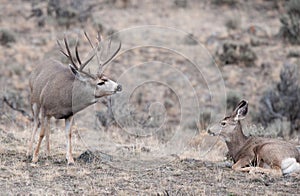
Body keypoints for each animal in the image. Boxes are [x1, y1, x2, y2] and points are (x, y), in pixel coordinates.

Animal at [27, 33, 122, 165]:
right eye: (101, 82)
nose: (119, 86)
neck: (65, 97)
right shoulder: (45, 108)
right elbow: (41, 133)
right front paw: (35, 158)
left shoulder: (69, 114)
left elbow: (69, 134)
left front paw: (70, 159)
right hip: (34, 101)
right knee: (36, 123)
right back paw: (29, 152)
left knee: (48, 127)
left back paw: (48, 153)